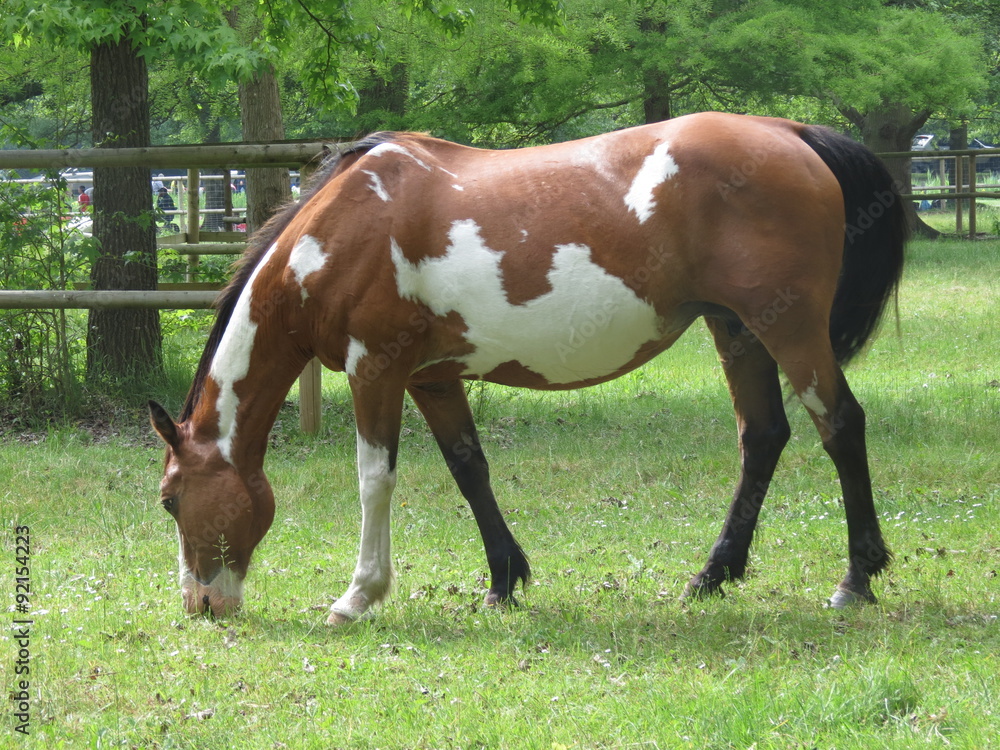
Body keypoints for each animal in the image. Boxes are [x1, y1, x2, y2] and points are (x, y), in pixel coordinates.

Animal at [149, 111, 906, 623]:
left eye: (169, 499)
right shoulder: (430, 377)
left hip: (790, 330)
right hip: (738, 329)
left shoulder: (375, 372)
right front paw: (504, 580)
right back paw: (712, 575)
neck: (341, 228)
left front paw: (359, 596)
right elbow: (468, 468)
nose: (202, 603)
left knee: (841, 427)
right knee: (763, 437)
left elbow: (374, 481)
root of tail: (790, 131)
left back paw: (856, 579)